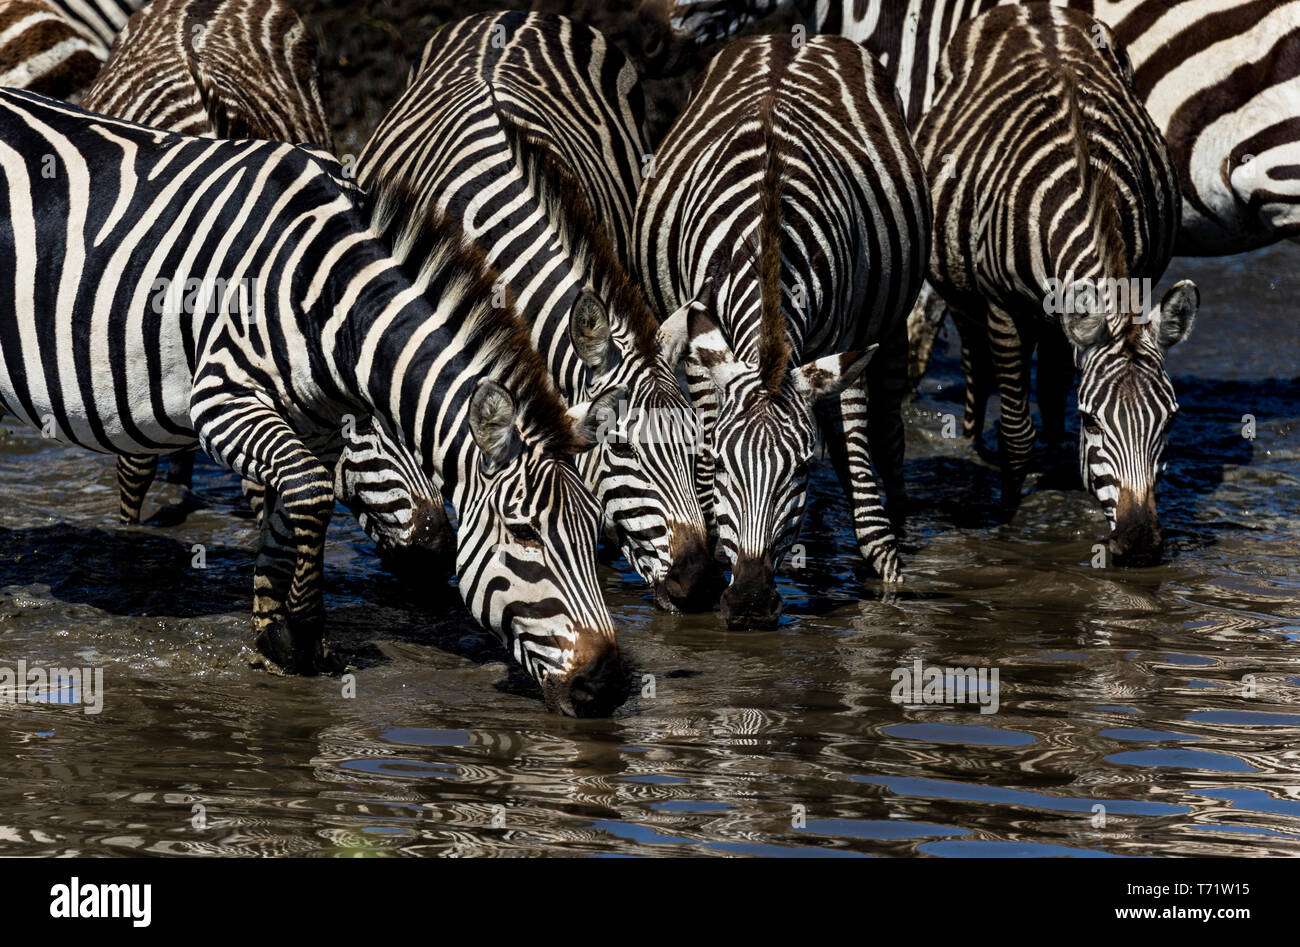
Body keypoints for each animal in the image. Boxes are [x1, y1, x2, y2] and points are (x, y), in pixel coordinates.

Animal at [0, 88, 629, 718]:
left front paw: (273, 638)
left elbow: (296, 511)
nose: (603, 685)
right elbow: (308, 494)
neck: (321, 294)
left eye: (595, 529)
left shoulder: (313, 427)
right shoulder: (222, 395)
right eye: (525, 534)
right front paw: (300, 634)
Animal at [634, 31, 930, 629]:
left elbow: (860, 469)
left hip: (889, 318)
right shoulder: (703, 349)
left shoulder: (847, 336)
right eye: (723, 465)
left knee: (885, 436)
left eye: (800, 468)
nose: (749, 605)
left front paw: (886, 583)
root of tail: (792, 34)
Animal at [915, 5, 1196, 561]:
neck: (1086, 186)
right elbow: (1015, 432)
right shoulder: (1003, 306)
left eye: (1172, 420)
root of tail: (1033, 8)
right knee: (975, 361)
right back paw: (972, 444)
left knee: (1048, 384)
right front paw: (1007, 514)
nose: (1139, 544)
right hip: (962, 289)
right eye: (1092, 420)